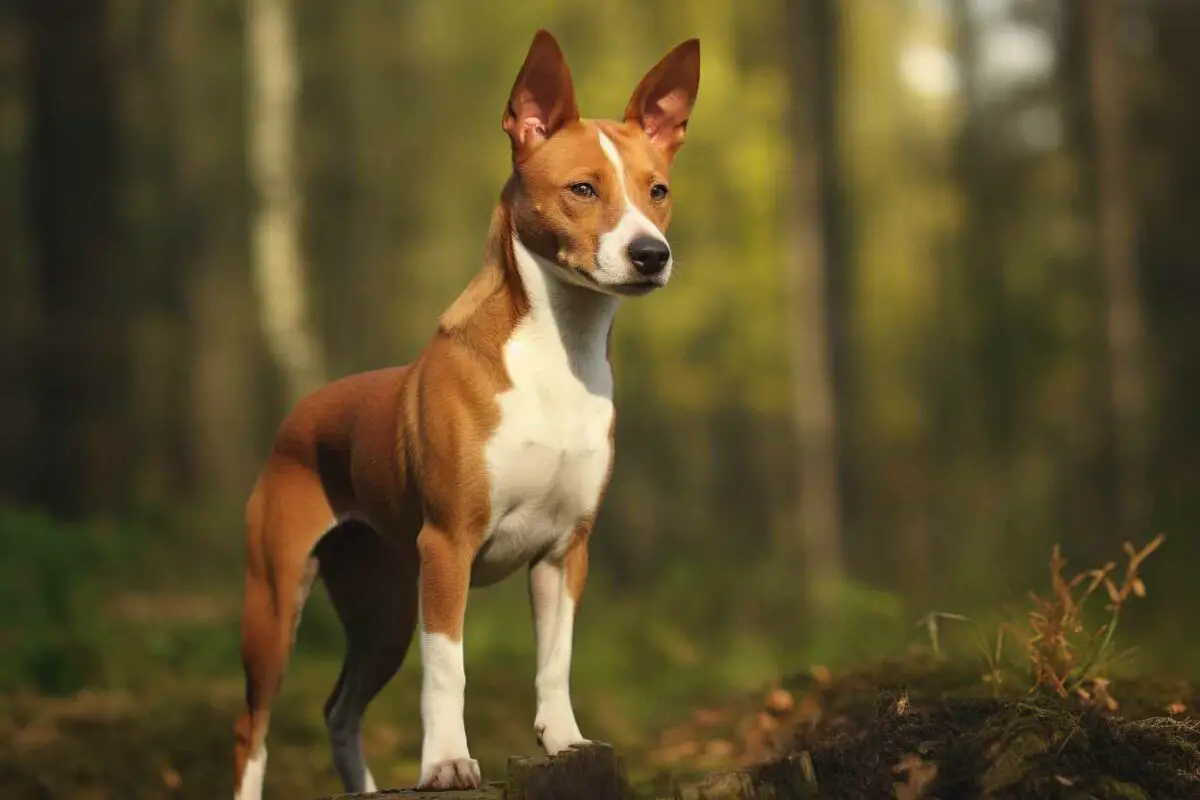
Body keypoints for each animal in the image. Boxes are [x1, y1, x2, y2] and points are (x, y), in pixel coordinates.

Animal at [232, 28, 700, 796]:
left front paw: (565, 740)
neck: (558, 356)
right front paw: (447, 761)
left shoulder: (564, 551)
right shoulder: (448, 548)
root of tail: (301, 411)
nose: (650, 254)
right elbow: (448, 671)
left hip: (384, 608)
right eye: (583, 189)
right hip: (276, 602)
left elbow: (556, 662)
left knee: (340, 708)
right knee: (254, 727)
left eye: (657, 192)